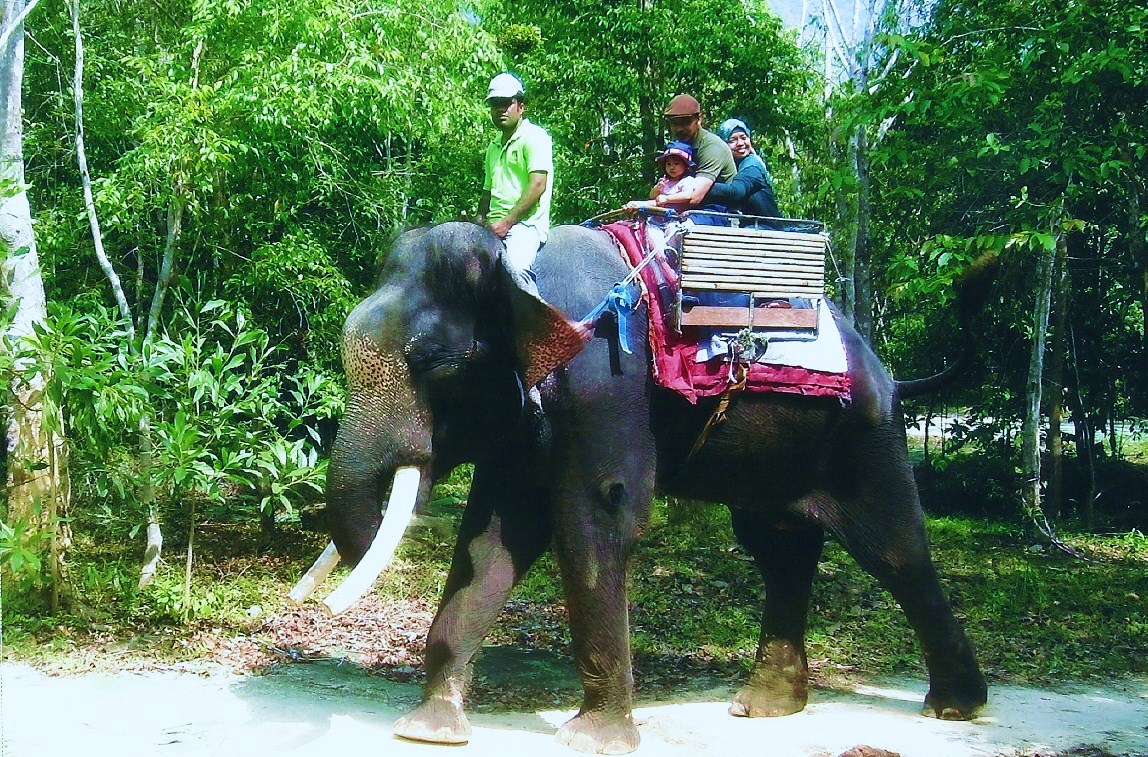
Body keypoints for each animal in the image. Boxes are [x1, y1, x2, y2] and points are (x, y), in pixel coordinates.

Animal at [292, 220, 990, 754]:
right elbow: (492, 539)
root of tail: (888, 374)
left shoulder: (605, 384)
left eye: (434, 362)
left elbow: (597, 519)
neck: (518, 269)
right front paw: (429, 730)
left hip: (864, 436)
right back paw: (764, 707)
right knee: (778, 547)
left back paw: (955, 709)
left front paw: (592, 740)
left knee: (894, 552)